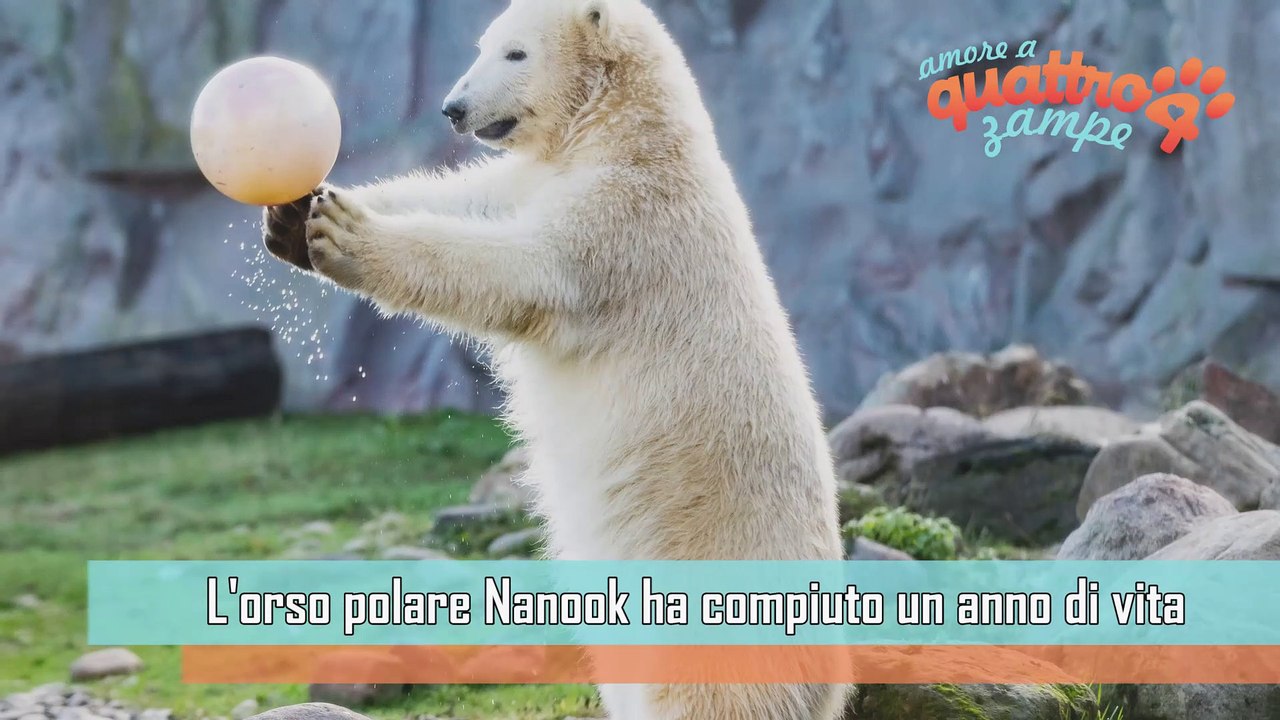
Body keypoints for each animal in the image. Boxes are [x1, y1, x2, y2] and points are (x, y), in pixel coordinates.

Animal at [261, 0, 847, 717]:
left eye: (515, 53)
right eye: (483, 45)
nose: (453, 108)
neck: (627, 133)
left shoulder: (625, 221)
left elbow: (520, 268)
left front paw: (344, 234)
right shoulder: (543, 178)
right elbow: (471, 198)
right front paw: (293, 216)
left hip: (717, 593)